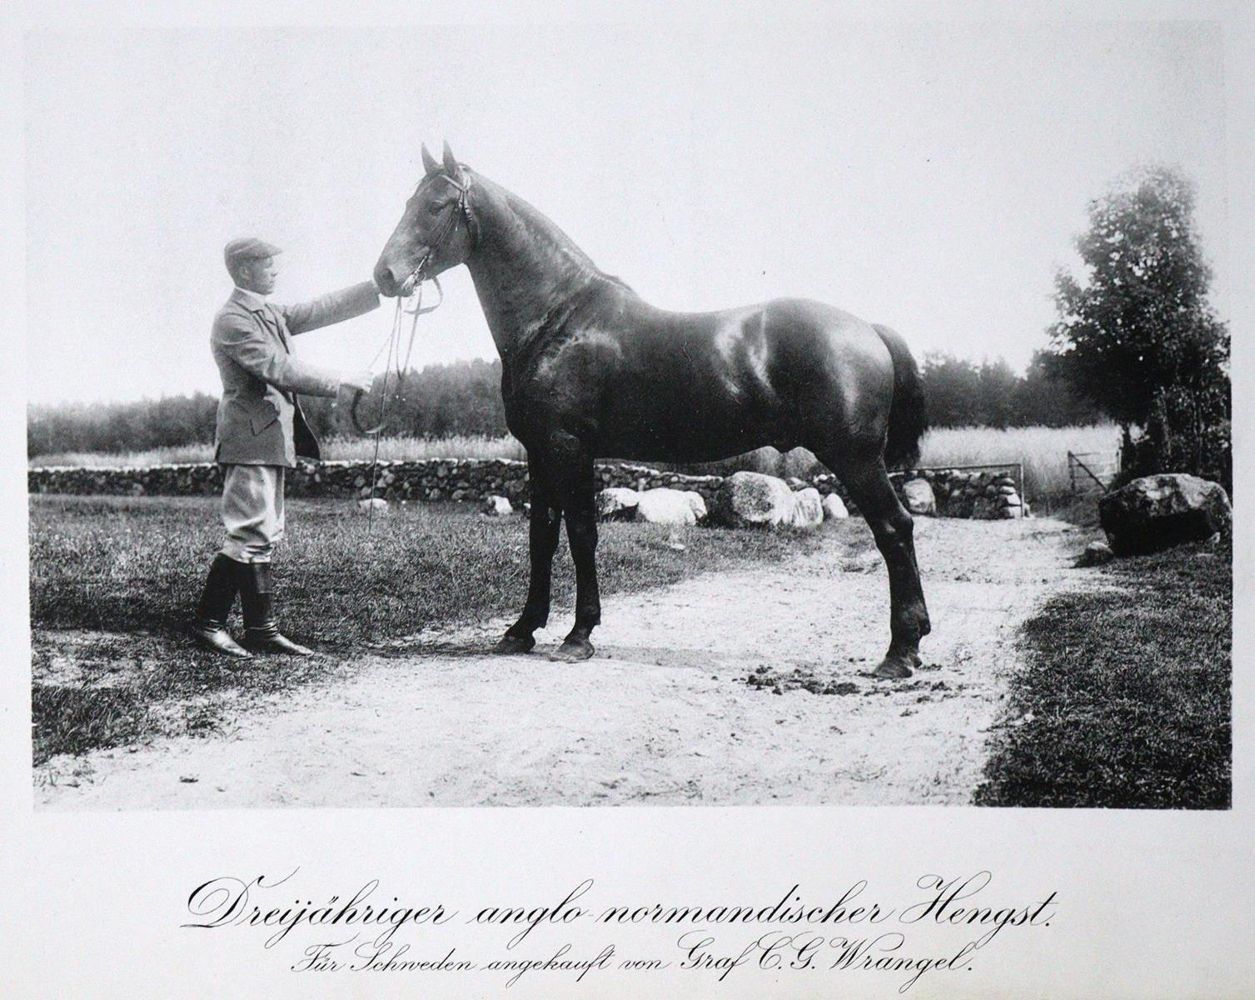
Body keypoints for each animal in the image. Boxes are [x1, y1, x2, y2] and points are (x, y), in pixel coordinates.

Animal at [374, 143, 930, 679]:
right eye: (406, 202)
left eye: (437, 206)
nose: (384, 275)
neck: (558, 319)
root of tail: (866, 328)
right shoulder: (539, 451)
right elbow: (542, 536)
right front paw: (521, 630)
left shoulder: (569, 447)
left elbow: (581, 534)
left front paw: (579, 636)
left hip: (855, 457)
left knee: (894, 528)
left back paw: (900, 652)